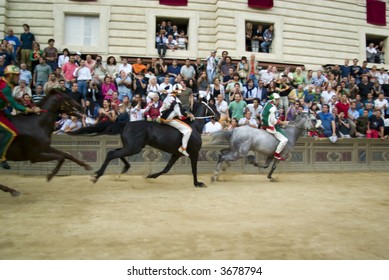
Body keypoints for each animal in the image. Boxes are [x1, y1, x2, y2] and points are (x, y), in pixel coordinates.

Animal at [88, 101, 218, 188]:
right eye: (213, 106)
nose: (218, 115)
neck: (195, 127)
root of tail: (126, 124)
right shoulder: (194, 153)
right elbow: (194, 169)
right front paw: (198, 183)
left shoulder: (176, 154)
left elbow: (166, 169)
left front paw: (150, 176)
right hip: (133, 148)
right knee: (111, 153)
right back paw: (96, 176)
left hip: (131, 147)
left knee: (115, 152)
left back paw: (125, 168)